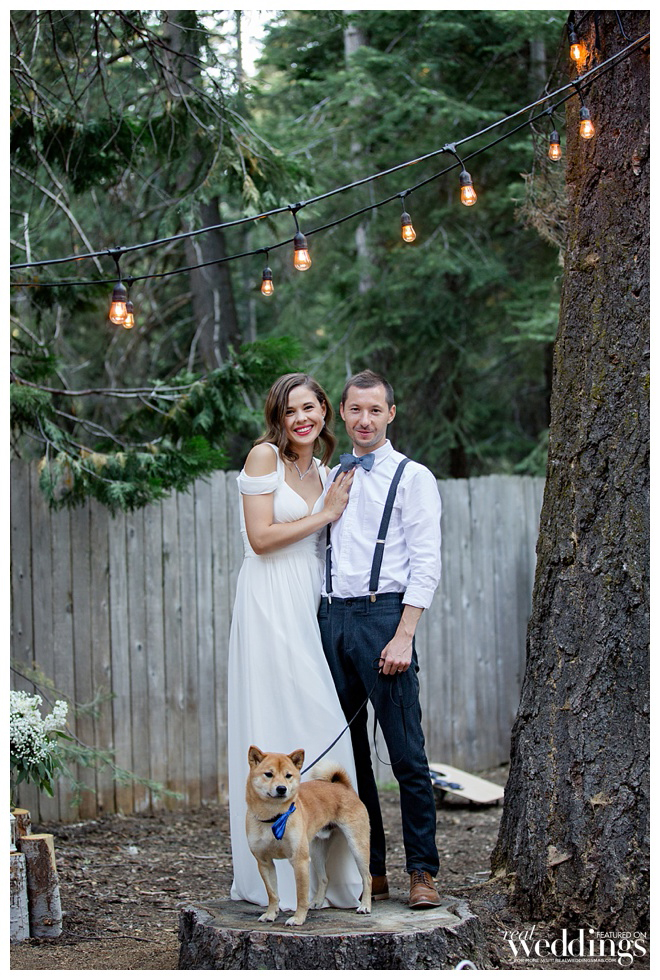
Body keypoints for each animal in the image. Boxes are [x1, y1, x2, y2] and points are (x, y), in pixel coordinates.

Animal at [245, 746, 372, 926]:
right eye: (268, 774)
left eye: (288, 775)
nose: (281, 788)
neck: (274, 817)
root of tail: (343, 786)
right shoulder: (264, 862)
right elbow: (272, 894)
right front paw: (270, 914)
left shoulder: (299, 860)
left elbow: (301, 895)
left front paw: (298, 918)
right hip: (316, 852)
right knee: (325, 878)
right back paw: (317, 902)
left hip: (357, 846)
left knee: (367, 878)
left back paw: (365, 906)